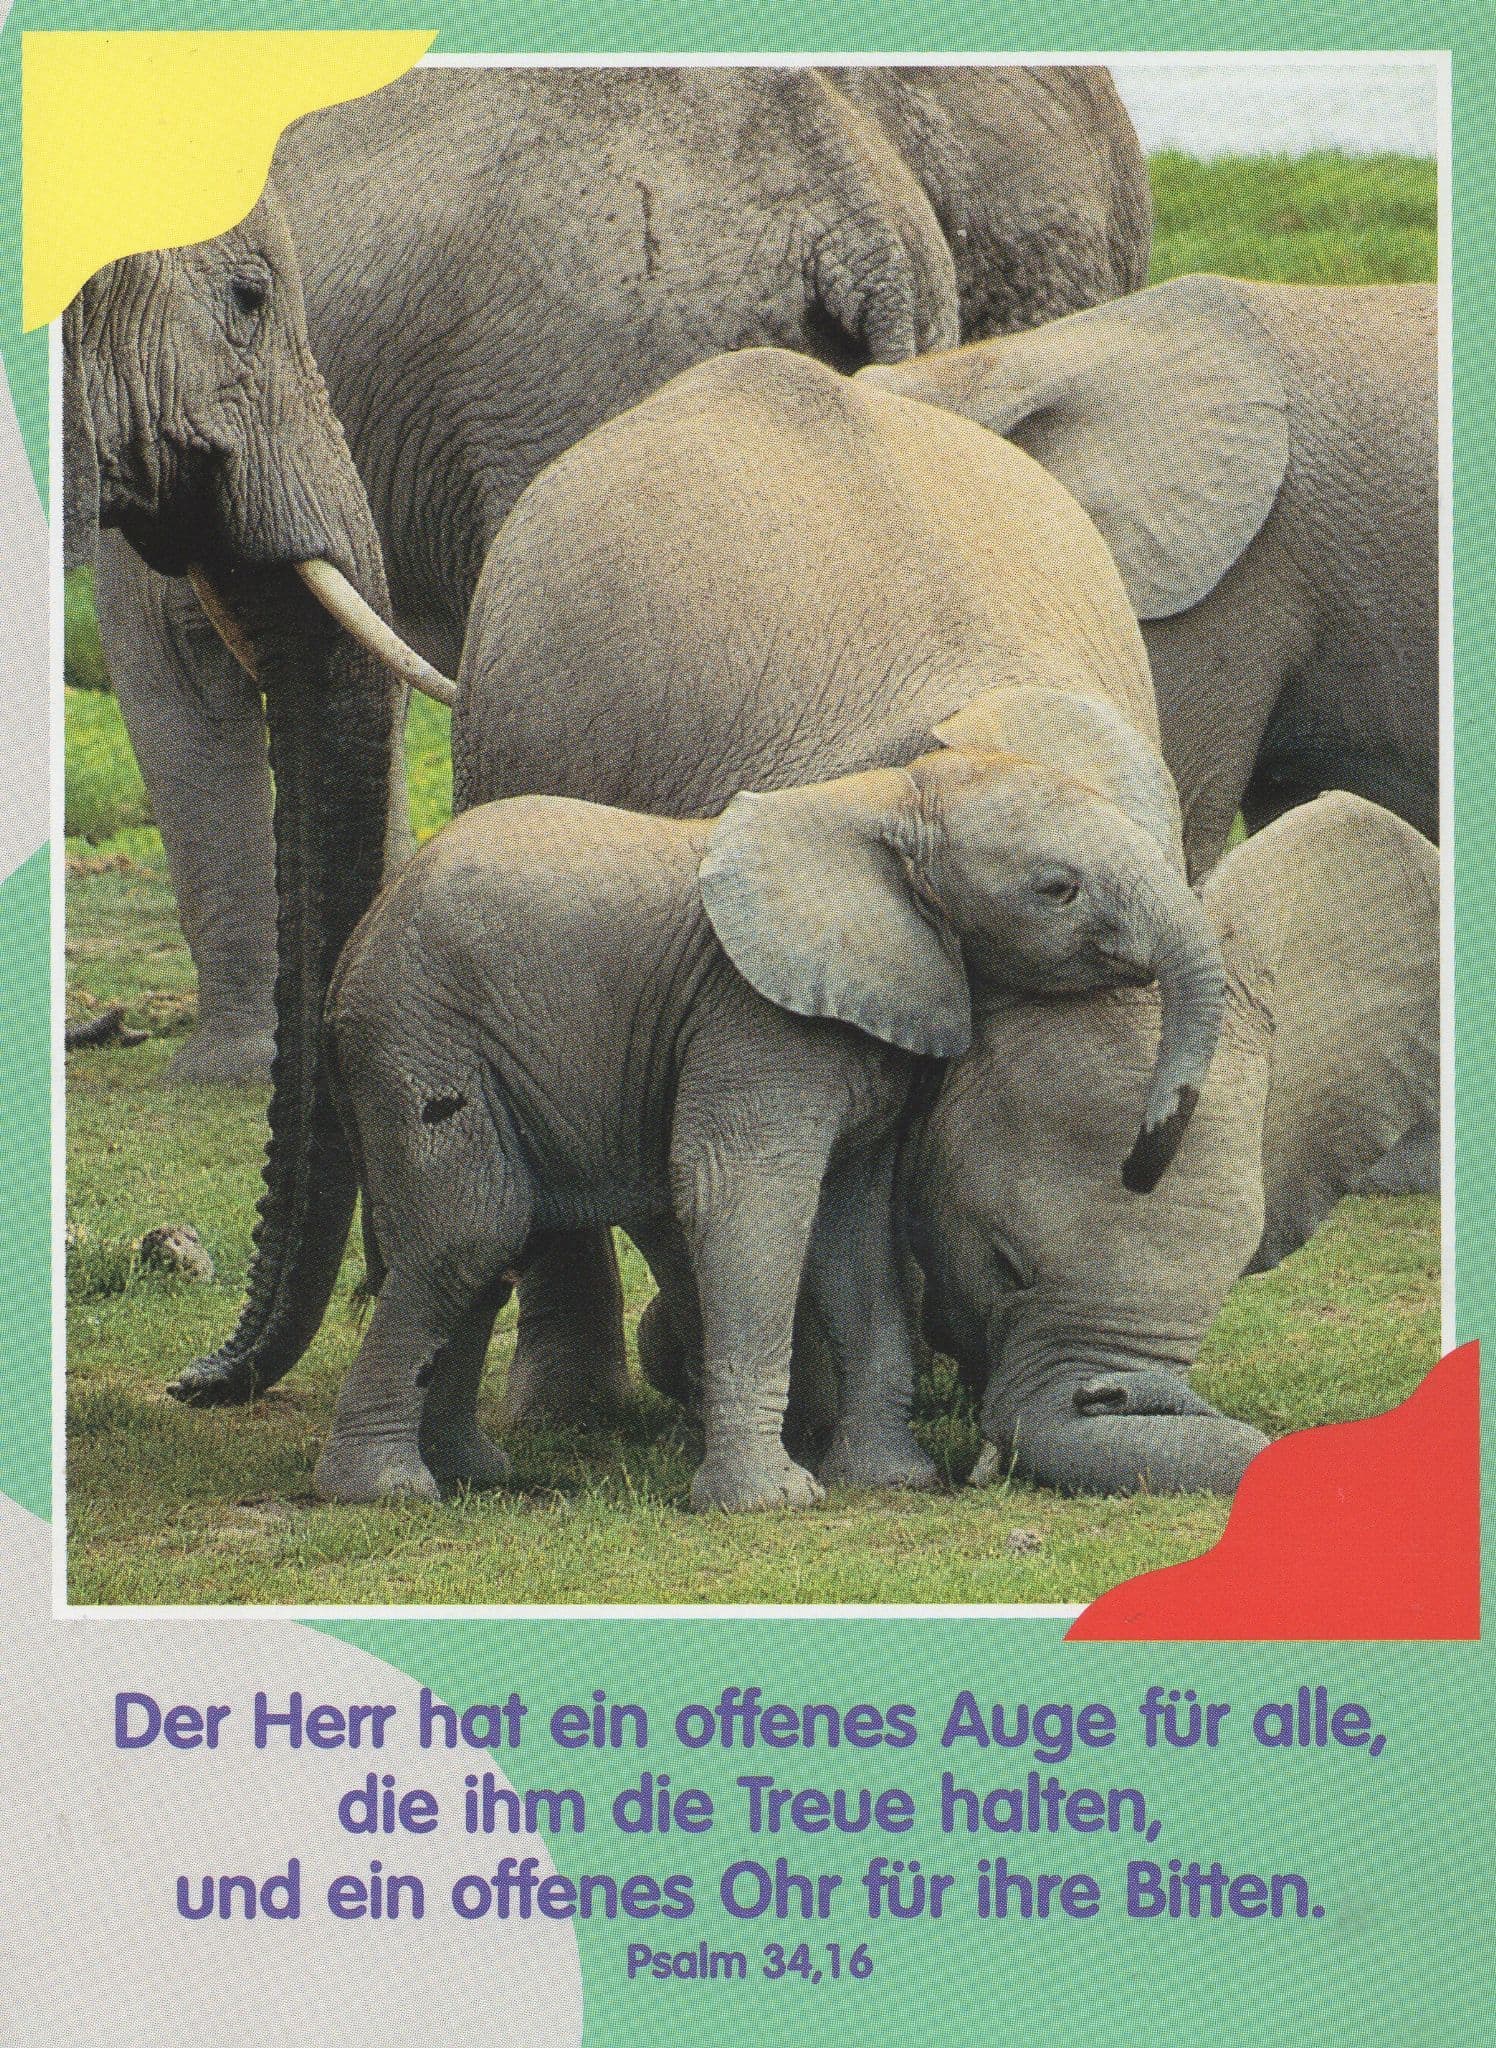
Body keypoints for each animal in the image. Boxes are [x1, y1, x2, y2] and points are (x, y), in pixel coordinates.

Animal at [317, 738, 1224, 1509]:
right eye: (1056, 889)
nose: (1140, 1164)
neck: (890, 797)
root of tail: (355, 945)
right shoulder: (751, 1014)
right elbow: (745, 1193)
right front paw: (772, 1500)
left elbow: (852, 1226)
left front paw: (891, 1480)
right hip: (418, 1032)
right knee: (472, 1229)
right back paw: (385, 1490)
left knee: (495, 1246)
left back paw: (471, 1474)